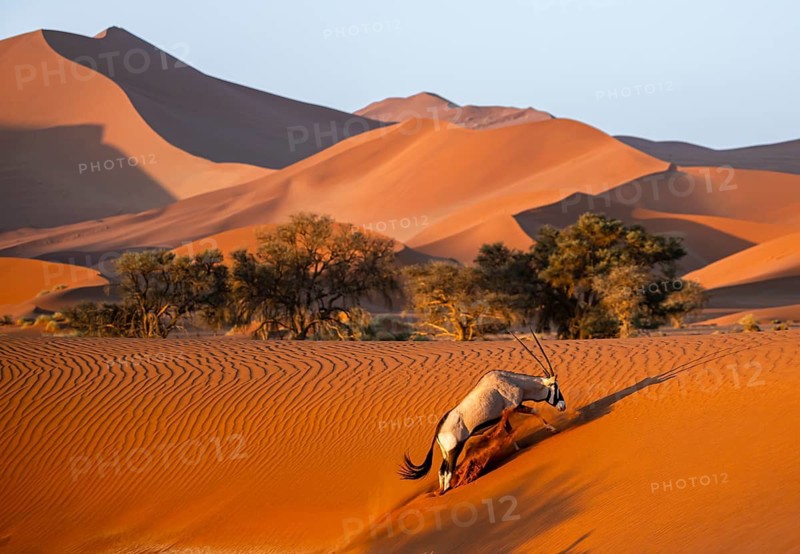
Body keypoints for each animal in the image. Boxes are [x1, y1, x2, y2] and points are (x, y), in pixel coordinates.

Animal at [398, 331, 566, 494]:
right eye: (556, 387)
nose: (563, 406)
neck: (514, 382)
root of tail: (438, 430)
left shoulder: (504, 415)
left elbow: (509, 430)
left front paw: (518, 448)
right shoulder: (515, 406)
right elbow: (535, 411)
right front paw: (552, 429)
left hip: (446, 452)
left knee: (441, 472)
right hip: (454, 450)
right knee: (448, 473)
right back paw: (449, 490)